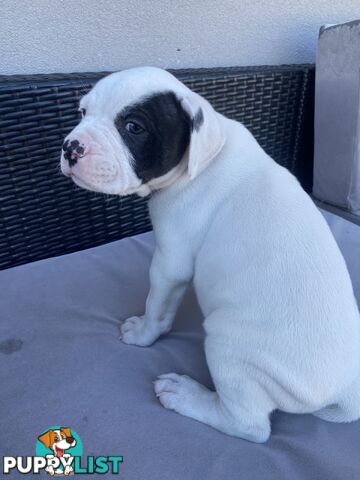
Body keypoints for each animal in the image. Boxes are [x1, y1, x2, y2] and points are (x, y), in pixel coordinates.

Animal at [60, 67, 358, 442]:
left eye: (133, 127)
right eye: (83, 112)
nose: (71, 147)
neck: (202, 159)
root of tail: (344, 392)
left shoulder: (169, 264)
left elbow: (156, 309)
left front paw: (142, 334)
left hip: (229, 347)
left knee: (248, 425)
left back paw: (186, 395)